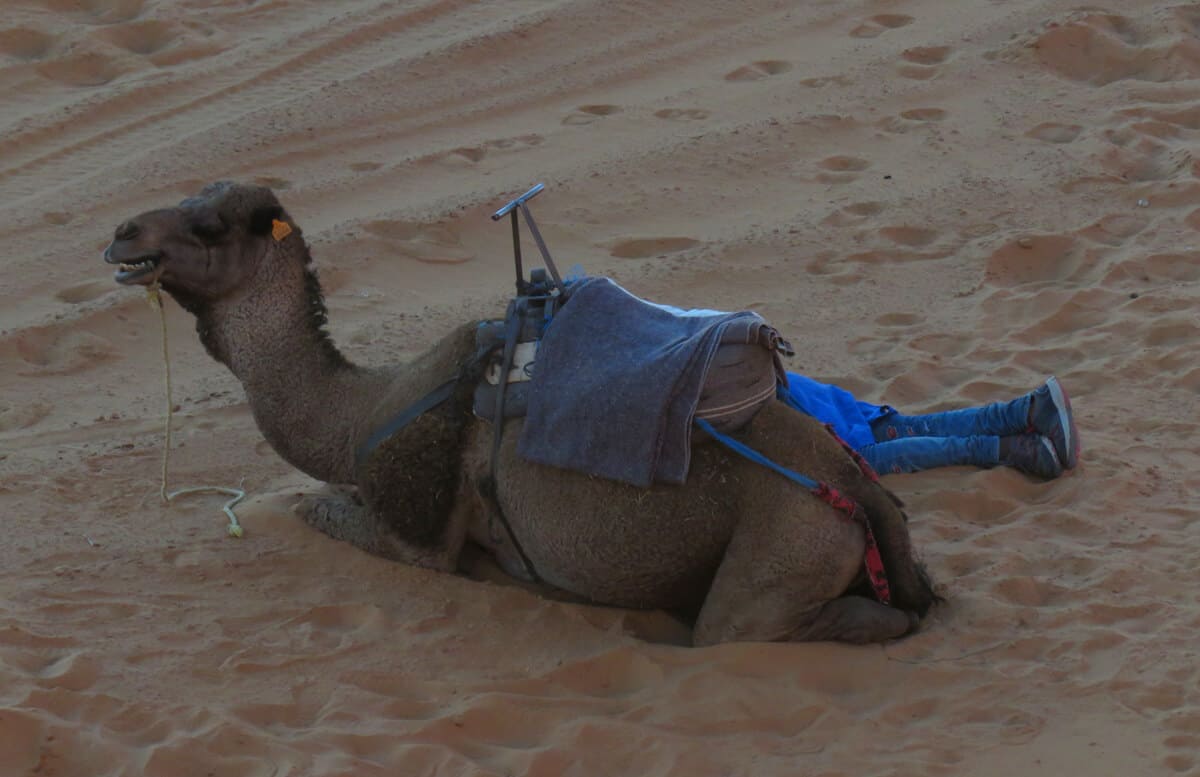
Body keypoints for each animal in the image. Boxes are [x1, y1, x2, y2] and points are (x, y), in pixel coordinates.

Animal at [103, 182, 936, 642]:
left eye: (209, 227)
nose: (120, 232)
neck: (363, 410)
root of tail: (852, 483)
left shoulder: (416, 534)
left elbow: (312, 507)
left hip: (785, 542)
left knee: (766, 626)